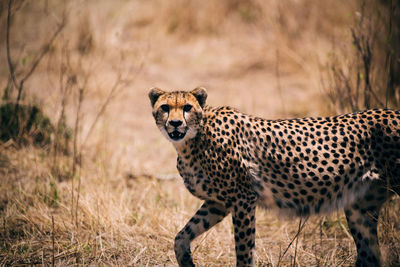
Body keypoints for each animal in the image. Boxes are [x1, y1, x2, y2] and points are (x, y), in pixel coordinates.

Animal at [148, 88, 398, 267]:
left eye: (187, 107)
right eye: (165, 107)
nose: (175, 123)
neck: (192, 141)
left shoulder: (243, 199)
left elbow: (244, 249)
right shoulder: (218, 203)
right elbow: (181, 236)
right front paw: (186, 261)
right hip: (360, 209)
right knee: (370, 255)